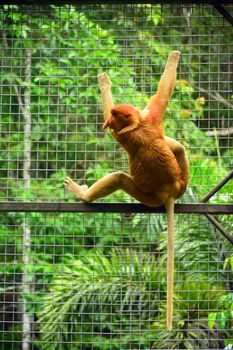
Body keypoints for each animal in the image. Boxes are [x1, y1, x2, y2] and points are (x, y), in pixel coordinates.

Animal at [64, 50, 189, 330]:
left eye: (115, 116)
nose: (109, 119)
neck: (137, 126)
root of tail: (168, 193)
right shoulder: (151, 119)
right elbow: (164, 93)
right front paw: (174, 58)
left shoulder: (128, 130)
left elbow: (158, 97)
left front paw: (104, 82)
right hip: (176, 181)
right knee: (177, 146)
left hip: (147, 196)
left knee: (119, 178)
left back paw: (83, 194)